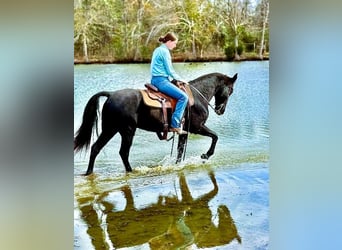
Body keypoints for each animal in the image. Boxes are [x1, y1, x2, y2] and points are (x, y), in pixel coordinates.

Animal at [73, 71, 236, 175]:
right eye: (231, 90)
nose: (221, 110)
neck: (196, 97)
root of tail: (111, 94)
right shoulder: (197, 128)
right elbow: (215, 136)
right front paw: (206, 155)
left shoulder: (184, 132)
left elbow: (180, 151)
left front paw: (178, 166)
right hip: (127, 130)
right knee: (123, 152)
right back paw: (131, 171)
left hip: (110, 129)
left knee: (95, 148)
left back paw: (89, 173)